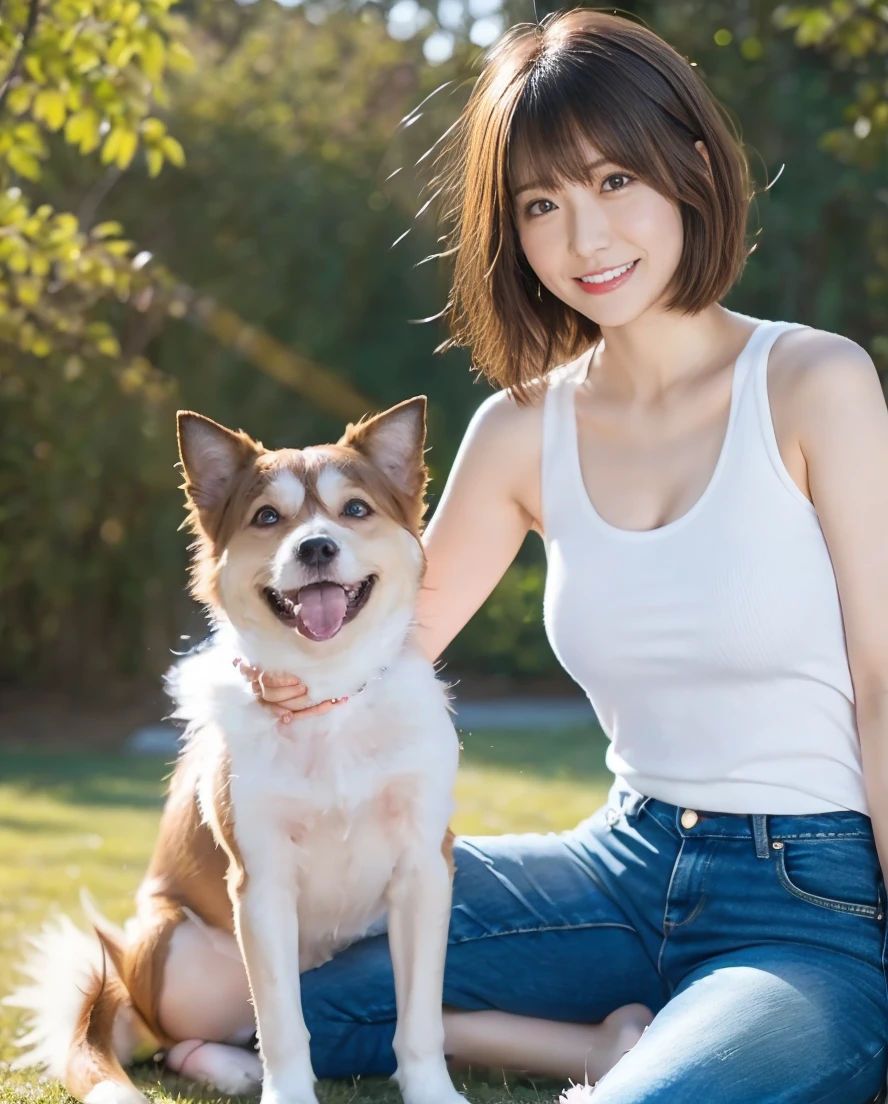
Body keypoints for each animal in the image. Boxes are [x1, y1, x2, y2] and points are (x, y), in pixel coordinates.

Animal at [6, 397, 461, 1104]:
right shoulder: (261, 883)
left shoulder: (423, 871)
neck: (329, 698)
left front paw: (432, 1091)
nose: (317, 545)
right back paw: (232, 1067)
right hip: (176, 947)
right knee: (174, 1044)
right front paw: (288, 1093)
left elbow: (419, 1020)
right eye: (268, 517)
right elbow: (282, 1023)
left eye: (355, 509)